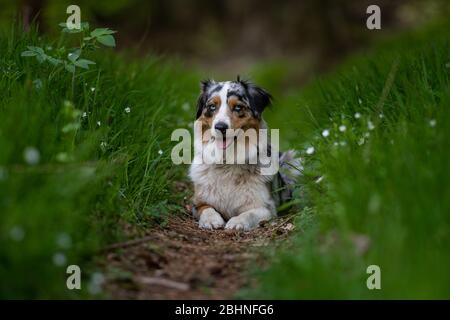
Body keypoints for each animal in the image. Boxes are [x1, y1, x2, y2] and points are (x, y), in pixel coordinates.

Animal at [188, 79, 300, 231]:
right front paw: (211, 220)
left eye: (238, 107)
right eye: (212, 106)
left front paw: (237, 222)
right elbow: (207, 209)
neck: (227, 162)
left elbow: (249, 213)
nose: (220, 127)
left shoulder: (266, 208)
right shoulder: (198, 202)